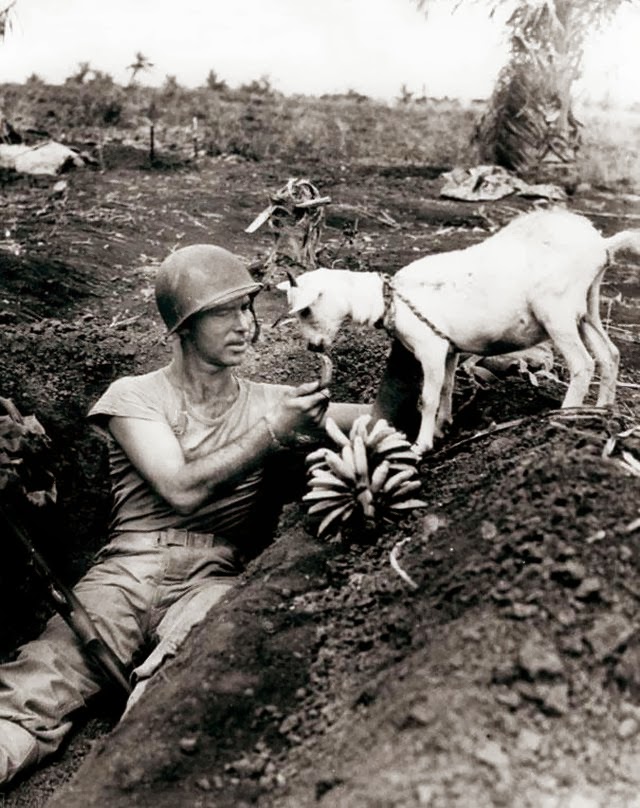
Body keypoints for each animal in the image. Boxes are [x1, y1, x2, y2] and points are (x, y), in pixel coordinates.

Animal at [278, 207, 640, 454]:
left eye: (306, 310)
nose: (313, 348)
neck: (389, 299)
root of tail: (602, 245)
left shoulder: (430, 348)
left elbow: (427, 398)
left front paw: (421, 445)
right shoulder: (449, 350)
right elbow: (446, 389)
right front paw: (442, 428)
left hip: (557, 311)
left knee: (583, 363)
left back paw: (565, 416)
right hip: (586, 308)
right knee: (609, 354)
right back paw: (600, 411)